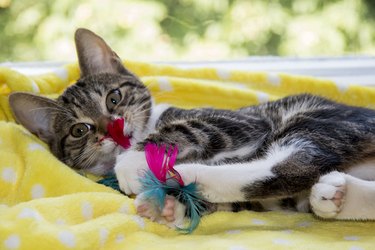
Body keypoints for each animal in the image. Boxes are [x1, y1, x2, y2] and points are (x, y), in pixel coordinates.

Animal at [8, 27, 375, 229]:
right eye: (79, 131)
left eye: (114, 98)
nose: (111, 129)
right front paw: (170, 207)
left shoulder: (241, 121)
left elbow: (189, 128)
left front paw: (138, 162)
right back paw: (338, 195)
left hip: (318, 121)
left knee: (289, 163)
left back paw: (178, 174)